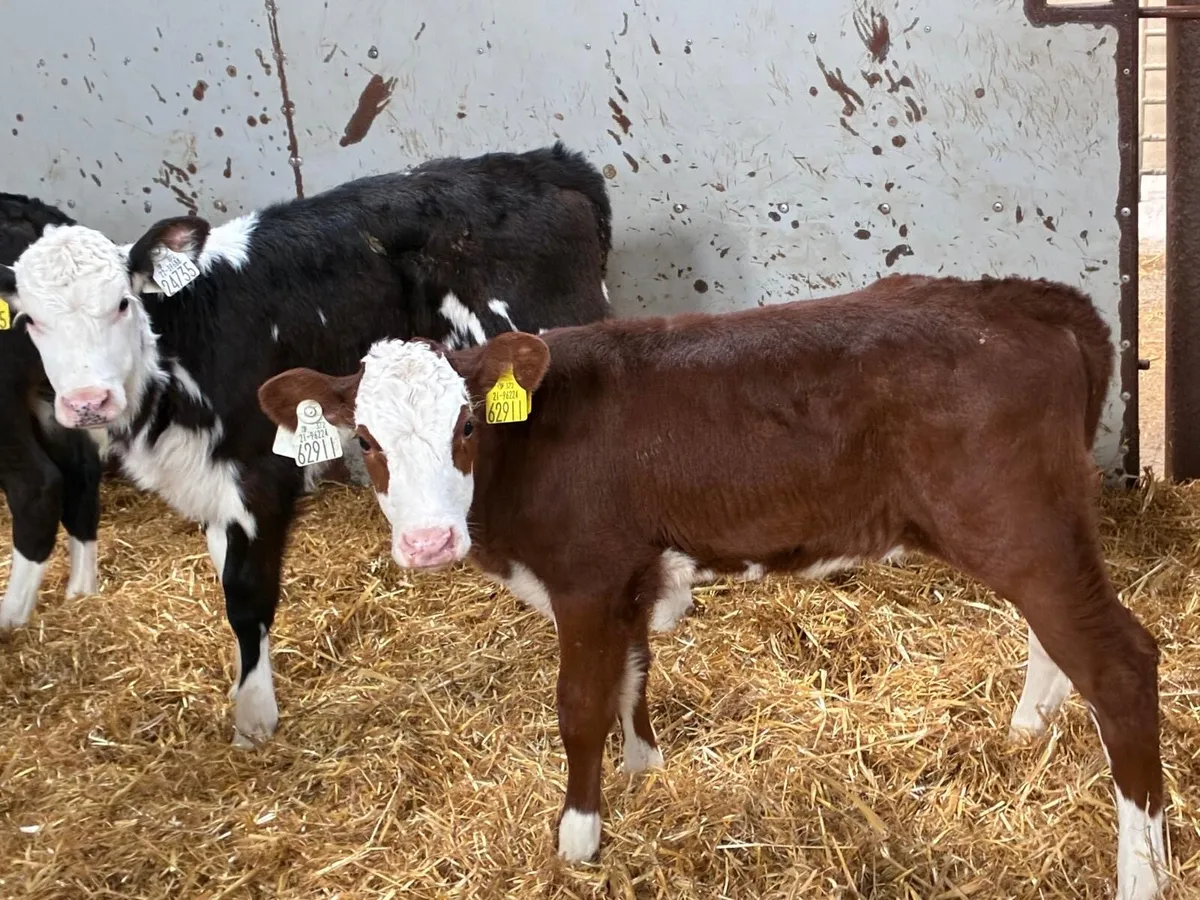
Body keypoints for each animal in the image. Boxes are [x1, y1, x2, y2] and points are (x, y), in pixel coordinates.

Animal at [0, 142, 614, 748]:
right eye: (28, 321)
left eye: (123, 303)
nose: (87, 401)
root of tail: (546, 161)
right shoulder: (211, 488)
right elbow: (226, 574)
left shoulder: (259, 476)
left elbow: (246, 594)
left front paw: (253, 721)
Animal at [257, 274, 1166, 900]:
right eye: (365, 440)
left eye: (468, 424)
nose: (428, 542)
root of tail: (1030, 300)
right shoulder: (627, 572)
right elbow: (631, 675)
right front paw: (642, 771)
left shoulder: (584, 578)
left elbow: (579, 707)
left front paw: (576, 839)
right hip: (1037, 532)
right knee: (1060, 641)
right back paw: (1028, 726)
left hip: (1016, 525)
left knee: (1120, 664)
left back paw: (1143, 872)